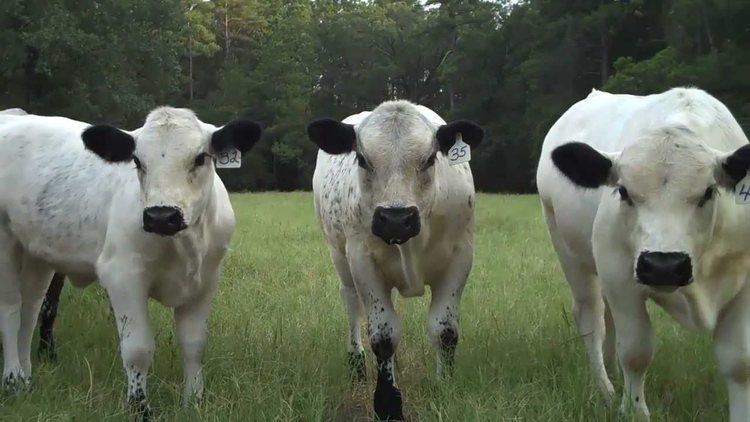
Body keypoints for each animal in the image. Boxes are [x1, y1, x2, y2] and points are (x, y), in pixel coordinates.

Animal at [0, 106, 262, 418]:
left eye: (200, 157)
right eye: (137, 160)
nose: (161, 216)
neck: (183, 243)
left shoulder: (206, 280)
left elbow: (194, 344)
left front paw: (193, 402)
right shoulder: (123, 276)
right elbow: (138, 348)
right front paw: (140, 408)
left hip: (36, 253)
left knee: (30, 310)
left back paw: (26, 379)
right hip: (4, 242)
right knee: (10, 309)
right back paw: (12, 380)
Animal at [308, 100, 484, 420]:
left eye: (430, 158)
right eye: (362, 159)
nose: (396, 219)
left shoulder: (460, 258)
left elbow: (445, 330)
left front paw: (444, 388)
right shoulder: (363, 263)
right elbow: (383, 335)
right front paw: (388, 404)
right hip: (339, 256)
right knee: (351, 304)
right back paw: (357, 363)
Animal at [536, 87, 750, 420]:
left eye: (709, 192)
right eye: (623, 191)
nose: (664, 265)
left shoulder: (744, 286)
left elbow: (739, 362)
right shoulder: (620, 276)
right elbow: (636, 352)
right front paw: (634, 409)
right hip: (569, 252)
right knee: (592, 319)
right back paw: (606, 390)